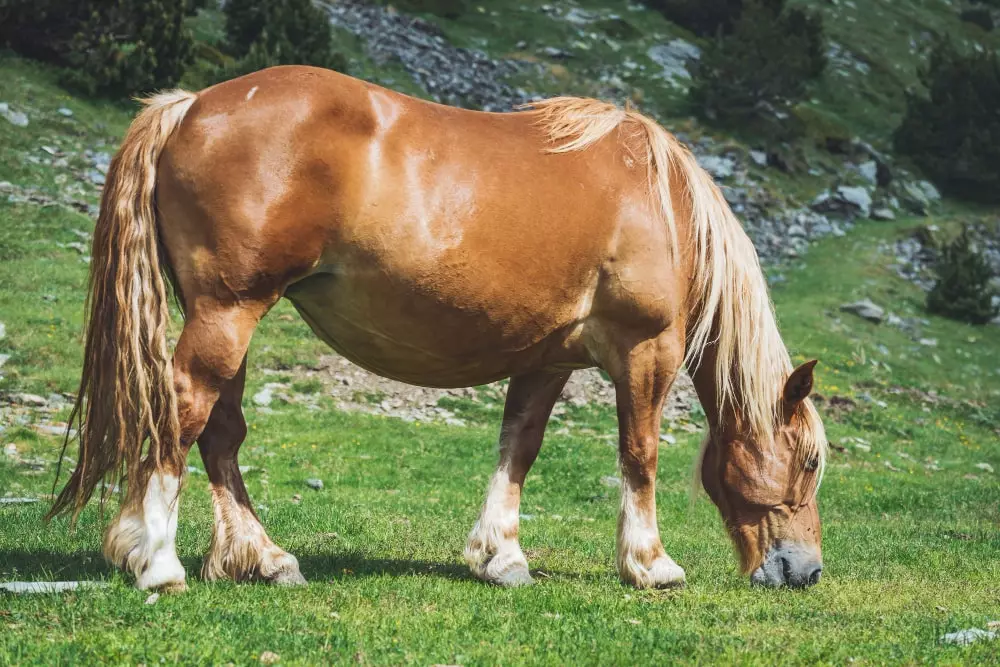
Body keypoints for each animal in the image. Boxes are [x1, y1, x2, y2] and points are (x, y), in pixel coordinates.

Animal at [47, 65, 828, 592]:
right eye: (812, 462)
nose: (807, 569)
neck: (661, 202)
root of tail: (189, 107)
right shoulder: (646, 351)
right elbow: (639, 454)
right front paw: (651, 563)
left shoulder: (547, 360)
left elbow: (519, 449)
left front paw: (501, 556)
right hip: (228, 311)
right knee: (183, 411)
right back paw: (157, 561)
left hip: (227, 316)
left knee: (219, 433)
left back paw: (263, 559)